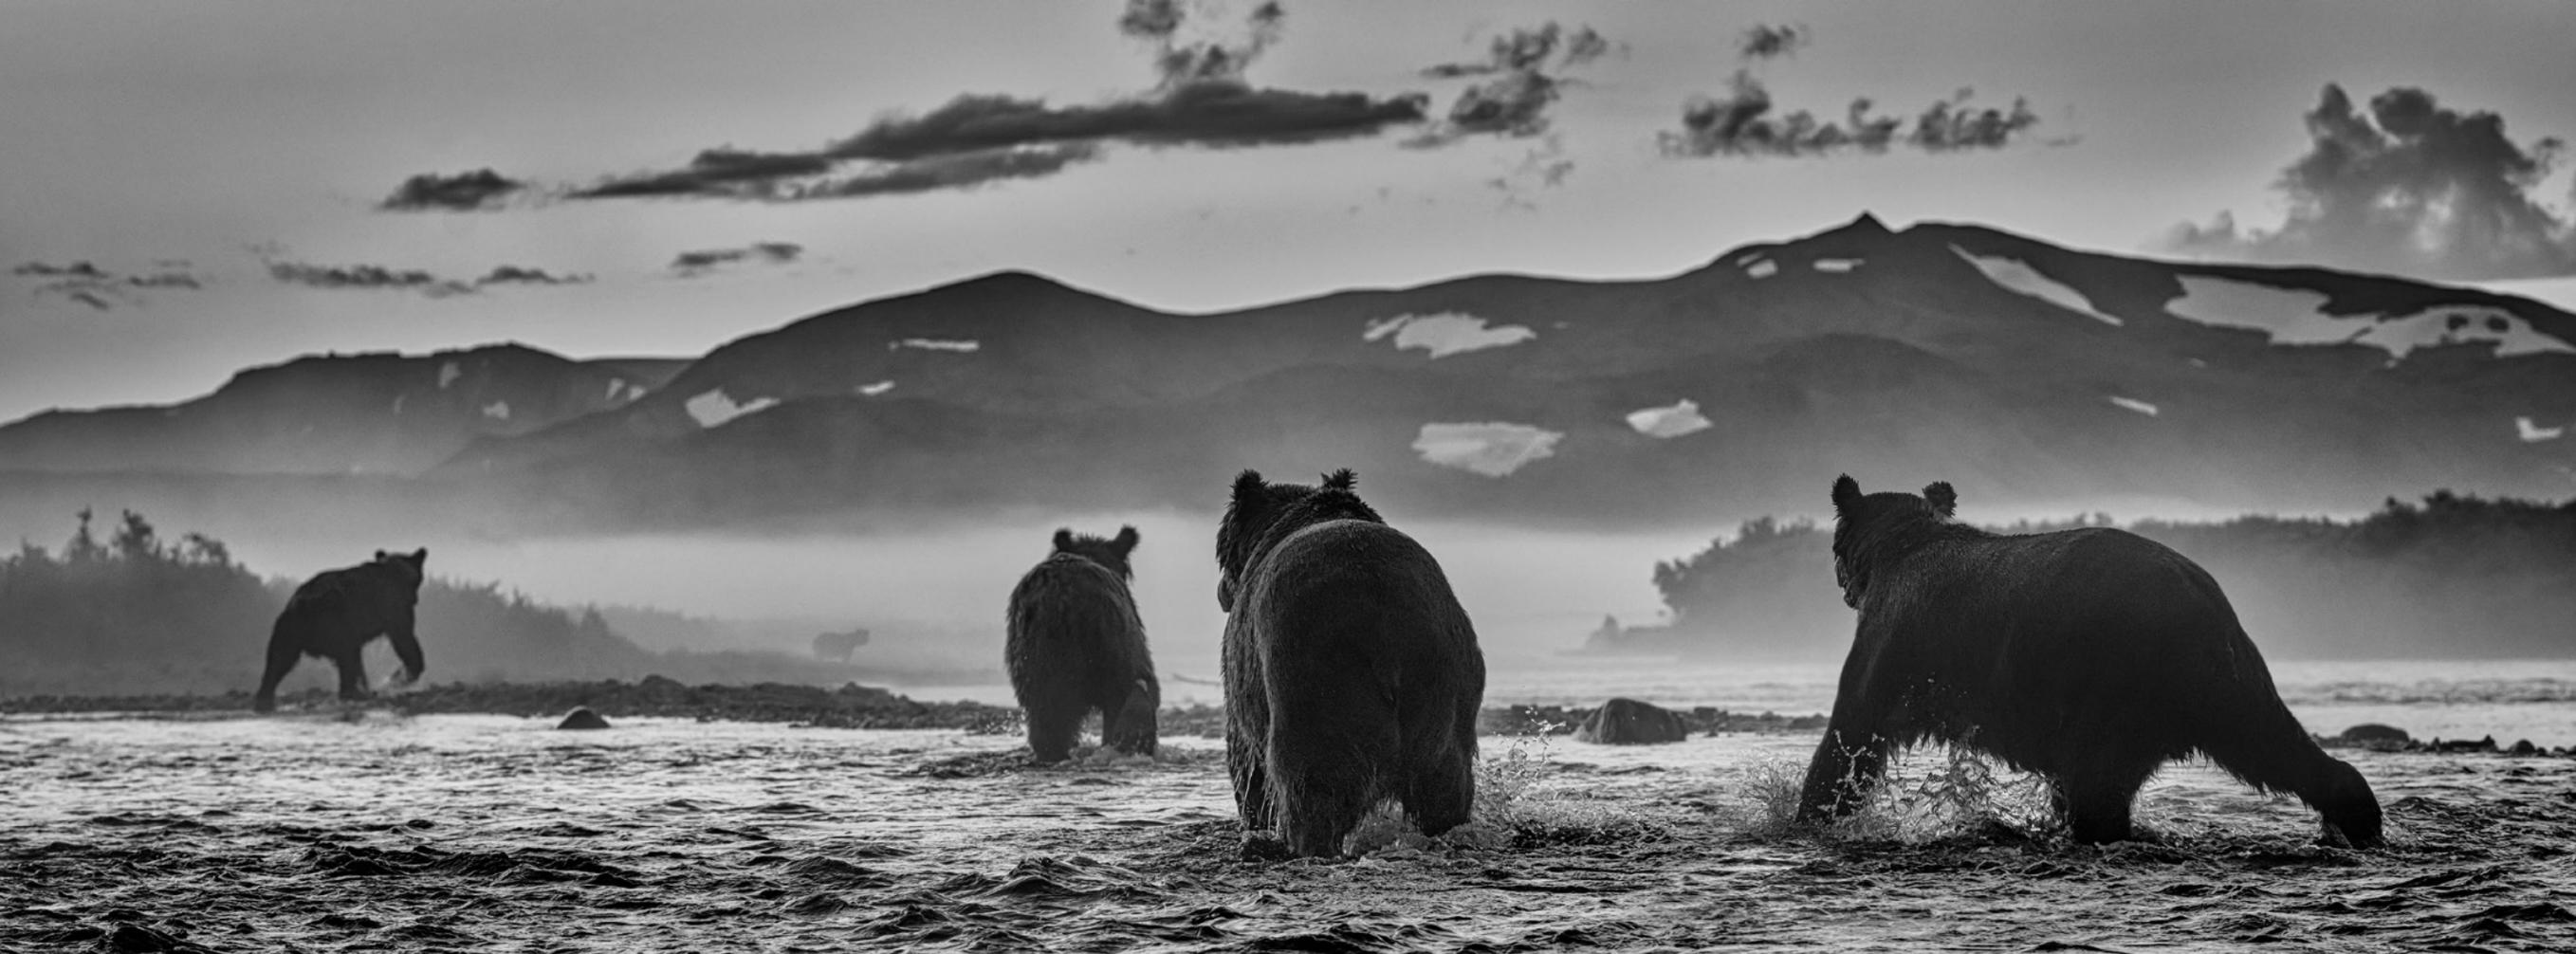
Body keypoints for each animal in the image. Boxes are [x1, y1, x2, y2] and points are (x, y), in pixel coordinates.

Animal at [253, 546, 430, 711]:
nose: (415, 599)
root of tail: (302, 604)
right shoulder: (393, 605)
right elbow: (404, 638)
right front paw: (399, 677)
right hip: (333, 622)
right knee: (346, 657)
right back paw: (354, 693)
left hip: (289, 629)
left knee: (278, 660)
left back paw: (264, 700)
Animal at [1221, 468, 1494, 855]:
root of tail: (1384, 626)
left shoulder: (1245, 680)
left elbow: (1247, 765)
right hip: (1446, 684)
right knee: (1445, 791)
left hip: (1315, 678)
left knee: (1311, 789)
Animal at [1803, 476, 2380, 851]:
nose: (1843, 588)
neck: (1892, 554)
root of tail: (2200, 599)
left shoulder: (1902, 642)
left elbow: (1853, 731)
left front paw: (1810, 814)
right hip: (2226, 679)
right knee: (2275, 745)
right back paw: (2359, 821)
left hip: (2110, 675)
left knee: (2095, 788)